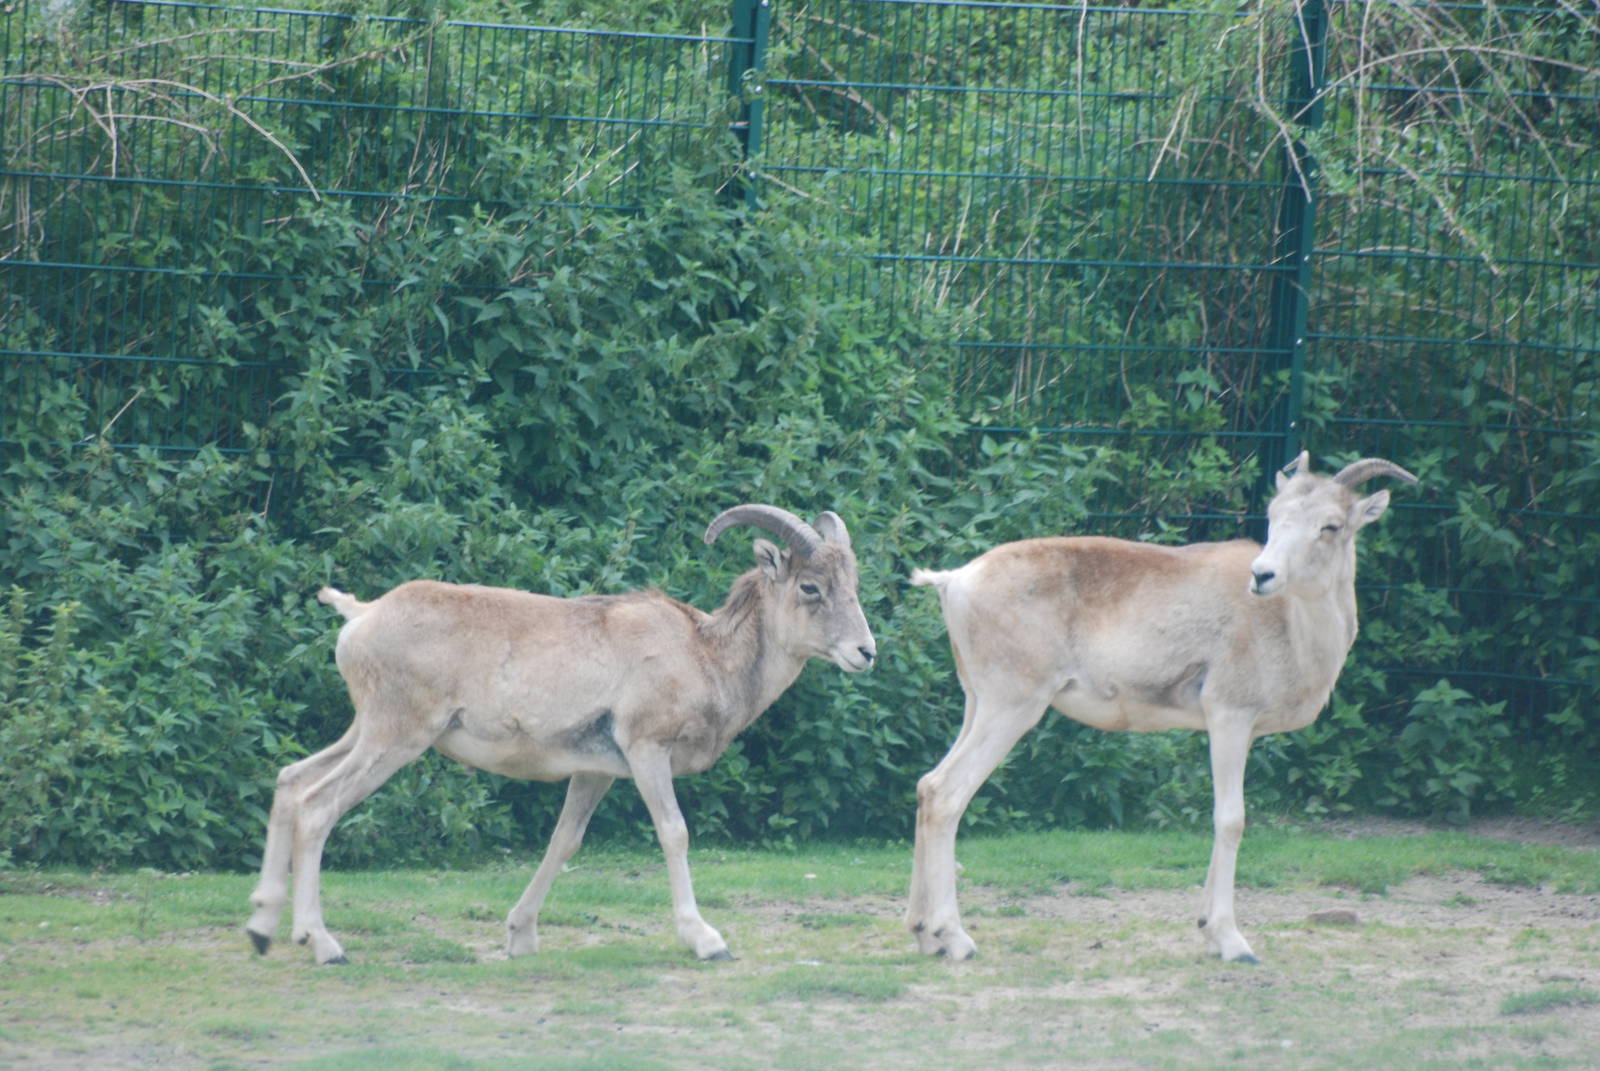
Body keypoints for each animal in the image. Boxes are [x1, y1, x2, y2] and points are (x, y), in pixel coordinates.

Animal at [245, 504, 876, 965]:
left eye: (852, 583)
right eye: (811, 587)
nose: (865, 651)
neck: (706, 656)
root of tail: (360, 616)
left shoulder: (594, 774)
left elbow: (564, 842)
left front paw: (521, 937)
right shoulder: (647, 753)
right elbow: (674, 833)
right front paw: (707, 941)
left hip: (366, 731)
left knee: (289, 780)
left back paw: (261, 930)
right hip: (394, 739)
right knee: (318, 806)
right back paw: (324, 946)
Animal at [904, 452, 1418, 963]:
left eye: (1331, 525)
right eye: (1275, 517)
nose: (1262, 575)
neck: (1290, 627)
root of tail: (955, 581)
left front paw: (1207, 929)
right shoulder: (1229, 719)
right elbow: (1231, 819)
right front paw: (1233, 942)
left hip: (978, 705)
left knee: (927, 786)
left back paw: (923, 934)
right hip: (1011, 709)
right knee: (948, 795)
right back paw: (956, 939)